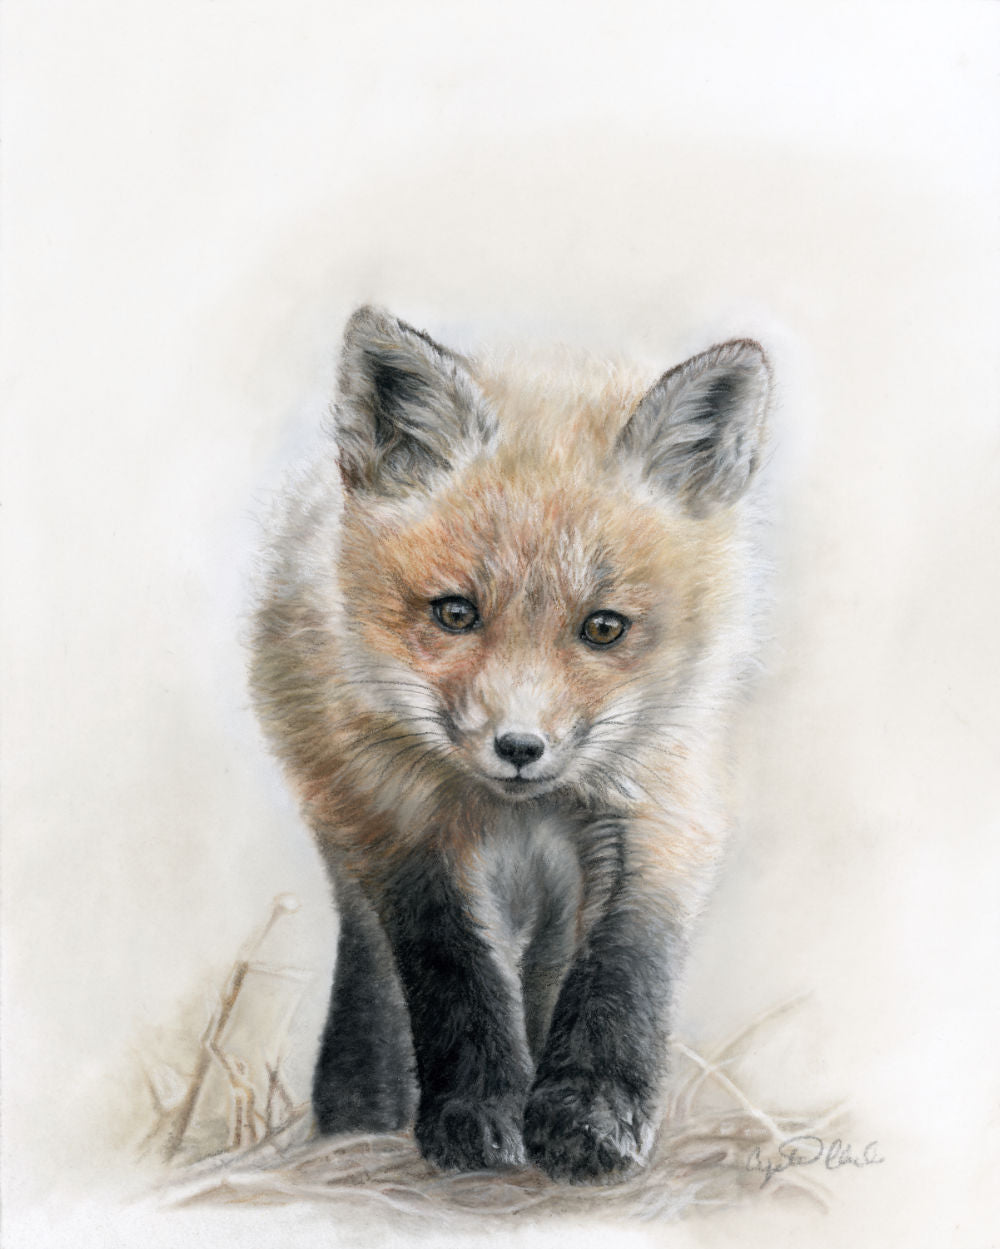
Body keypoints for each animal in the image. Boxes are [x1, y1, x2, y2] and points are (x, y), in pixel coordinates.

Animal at [250, 306, 772, 1183]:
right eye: (455, 613)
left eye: (604, 627)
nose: (520, 746)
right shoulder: (407, 826)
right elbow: (453, 974)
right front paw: (476, 1113)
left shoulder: (660, 808)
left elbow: (621, 971)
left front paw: (588, 1115)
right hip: (344, 808)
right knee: (374, 963)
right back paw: (360, 1110)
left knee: (549, 963)